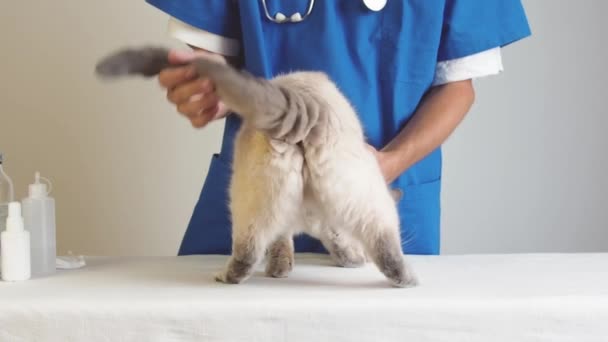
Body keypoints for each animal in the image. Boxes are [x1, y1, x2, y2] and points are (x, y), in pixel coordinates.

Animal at [95, 46, 418, 288]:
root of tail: (302, 103)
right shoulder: (315, 222)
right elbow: (295, 241)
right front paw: (286, 269)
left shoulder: (318, 223)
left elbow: (296, 241)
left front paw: (289, 267)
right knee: (383, 244)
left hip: (255, 202)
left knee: (248, 250)